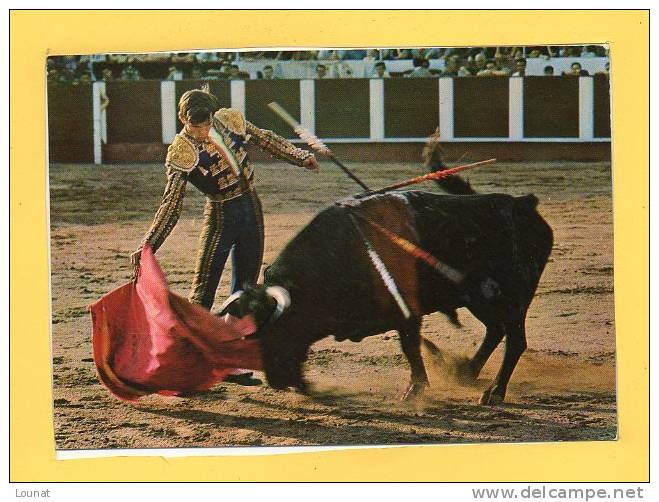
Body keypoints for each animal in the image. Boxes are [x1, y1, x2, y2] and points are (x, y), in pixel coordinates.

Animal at [222, 140, 552, 404]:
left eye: (277, 331)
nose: (276, 382)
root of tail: (523, 205)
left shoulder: (406, 311)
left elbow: (410, 347)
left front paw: (414, 391)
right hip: (478, 299)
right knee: (495, 330)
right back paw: (467, 372)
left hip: (513, 298)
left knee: (514, 340)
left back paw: (494, 393)